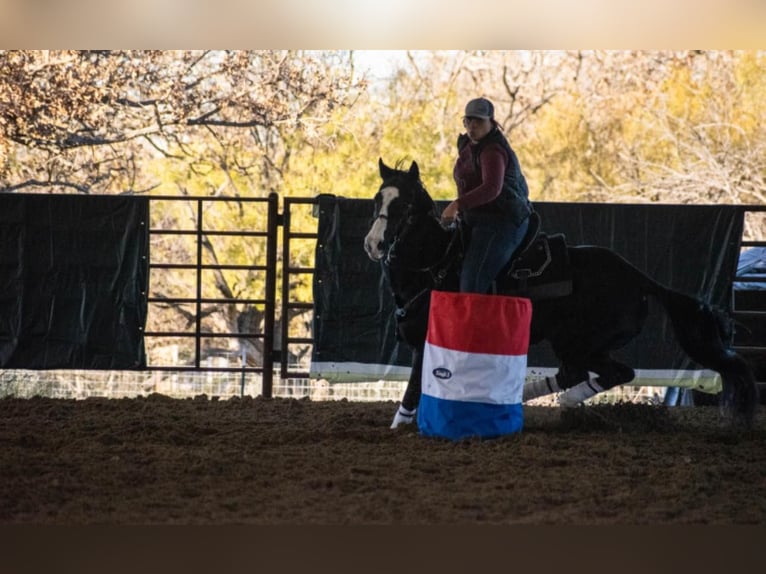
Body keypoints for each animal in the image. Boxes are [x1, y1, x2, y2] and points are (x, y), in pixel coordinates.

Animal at [366, 160, 760, 430]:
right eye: (377, 199)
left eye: (405, 205)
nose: (374, 244)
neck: (438, 263)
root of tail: (637, 277)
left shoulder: (428, 341)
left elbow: (415, 385)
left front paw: (400, 424)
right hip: (574, 342)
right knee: (584, 371)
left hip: (581, 340)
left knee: (614, 371)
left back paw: (563, 399)